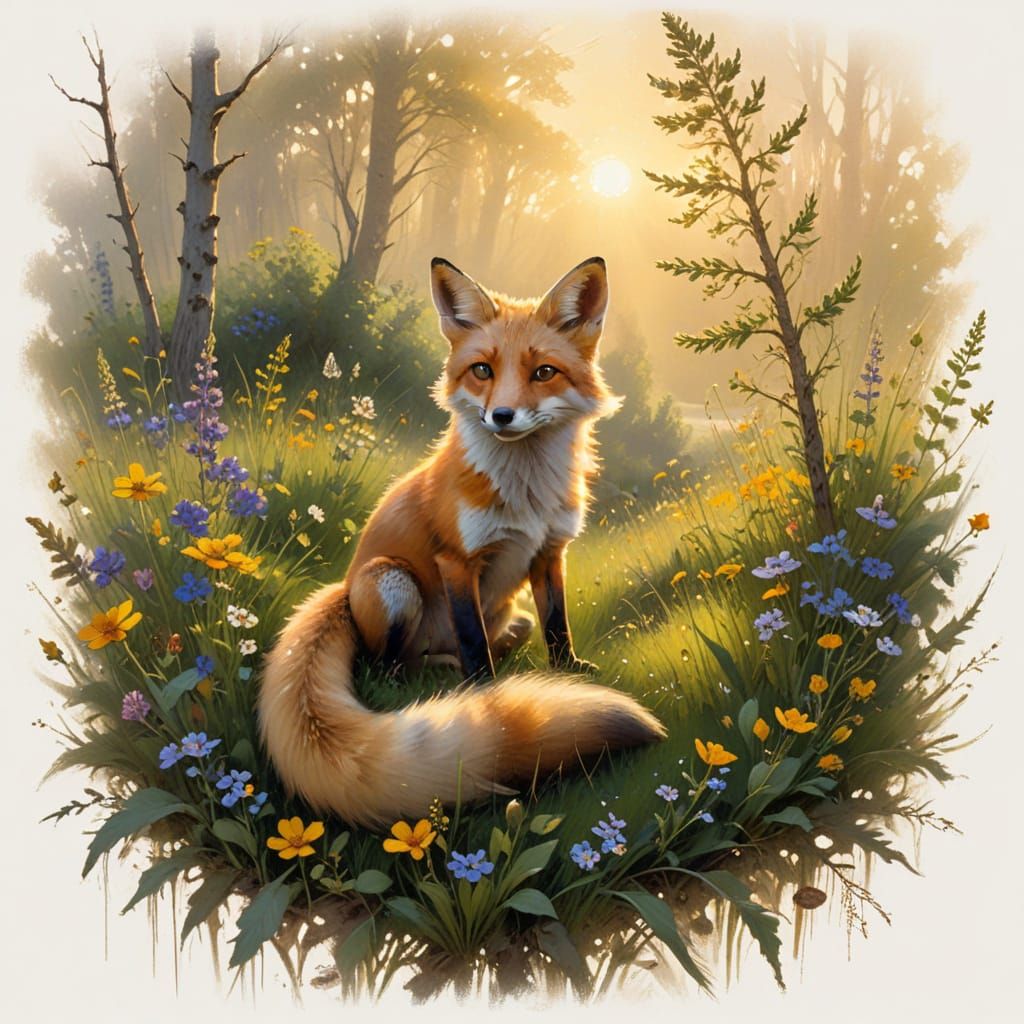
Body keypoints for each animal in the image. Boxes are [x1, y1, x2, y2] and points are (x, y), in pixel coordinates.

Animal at [259, 256, 665, 826]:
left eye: (543, 372)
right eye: (483, 371)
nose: (501, 416)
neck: (526, 497)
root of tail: (342, 587)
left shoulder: (549, 553)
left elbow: (557, 623)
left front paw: (567, 675)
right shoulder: (457, 561)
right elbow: (472, 640)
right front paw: (488, 695)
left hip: (511, 616)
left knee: (493, 638)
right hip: (392, 581)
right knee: (388, 667)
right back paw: (447, 679)